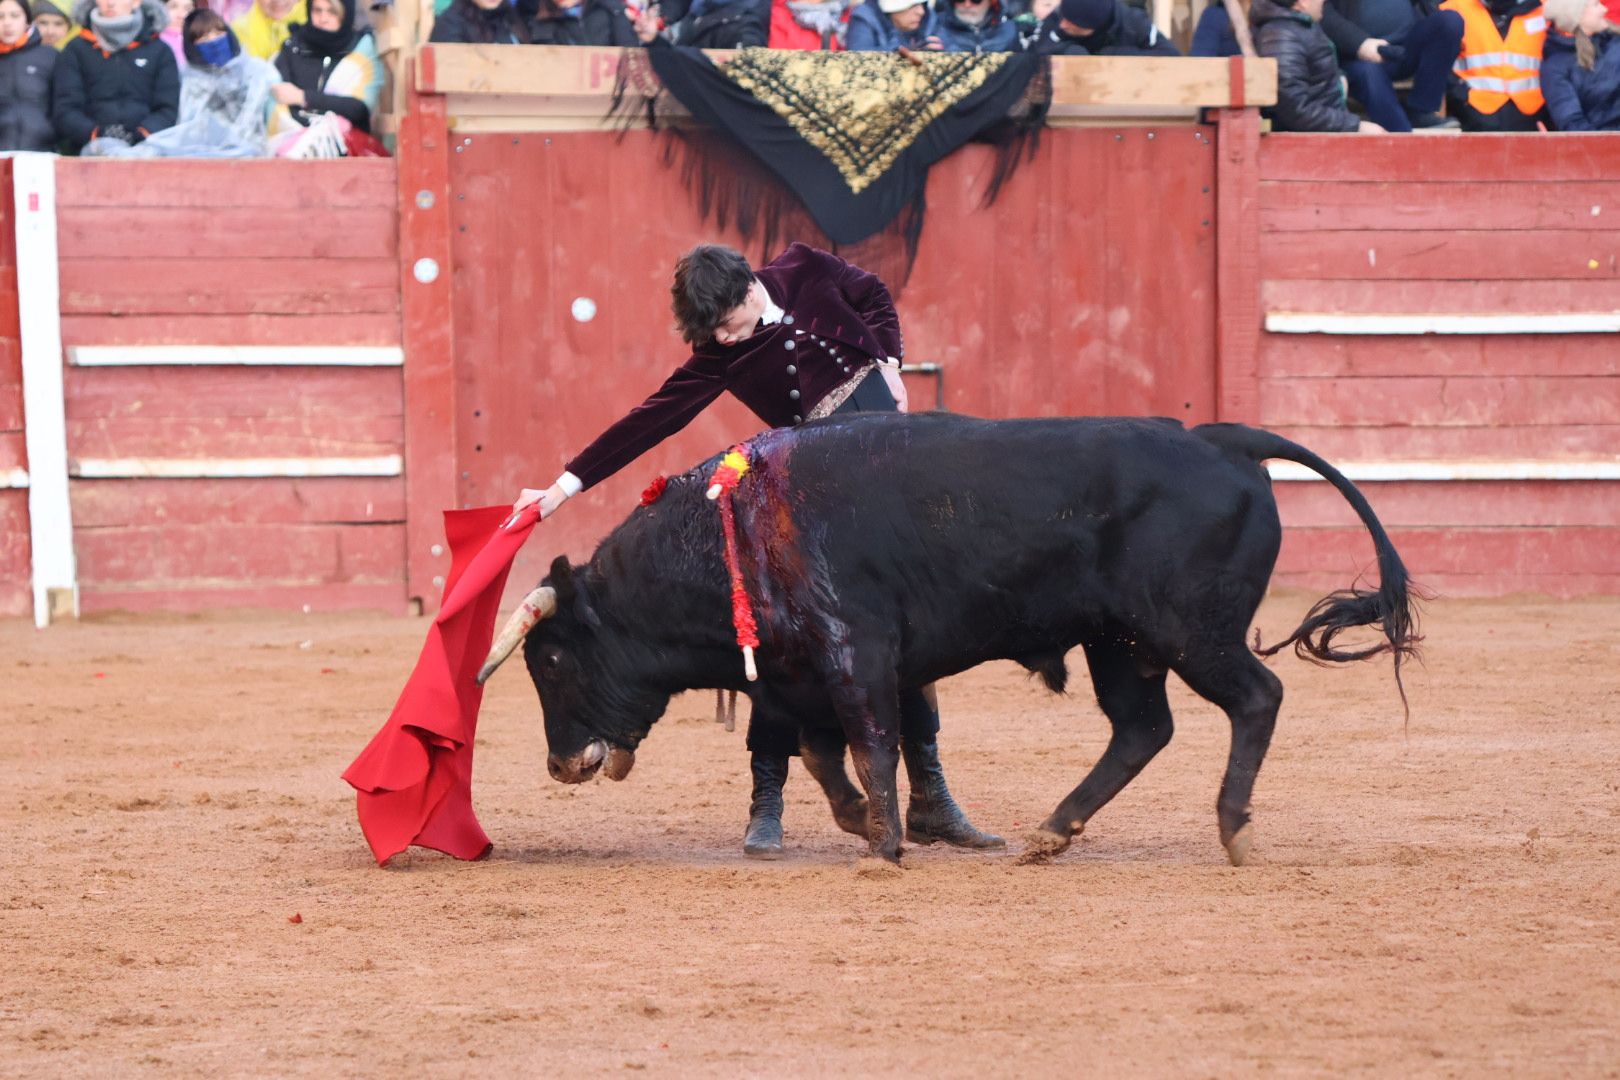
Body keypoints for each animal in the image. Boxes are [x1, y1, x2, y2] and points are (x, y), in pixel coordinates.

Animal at [479, 414, 1419, 867]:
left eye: (551, 660)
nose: (559, 764)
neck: (728, 532)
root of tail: (1224, 441)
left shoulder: (857, 652)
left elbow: (872, 741)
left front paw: (885, 846)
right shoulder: (798, 673)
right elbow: (822, 752)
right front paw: (864, 823)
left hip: (1190, 631)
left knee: (1257, 698)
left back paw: (1234, 829)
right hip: (1120, 643)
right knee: (1143, 728)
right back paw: (1052, 832)